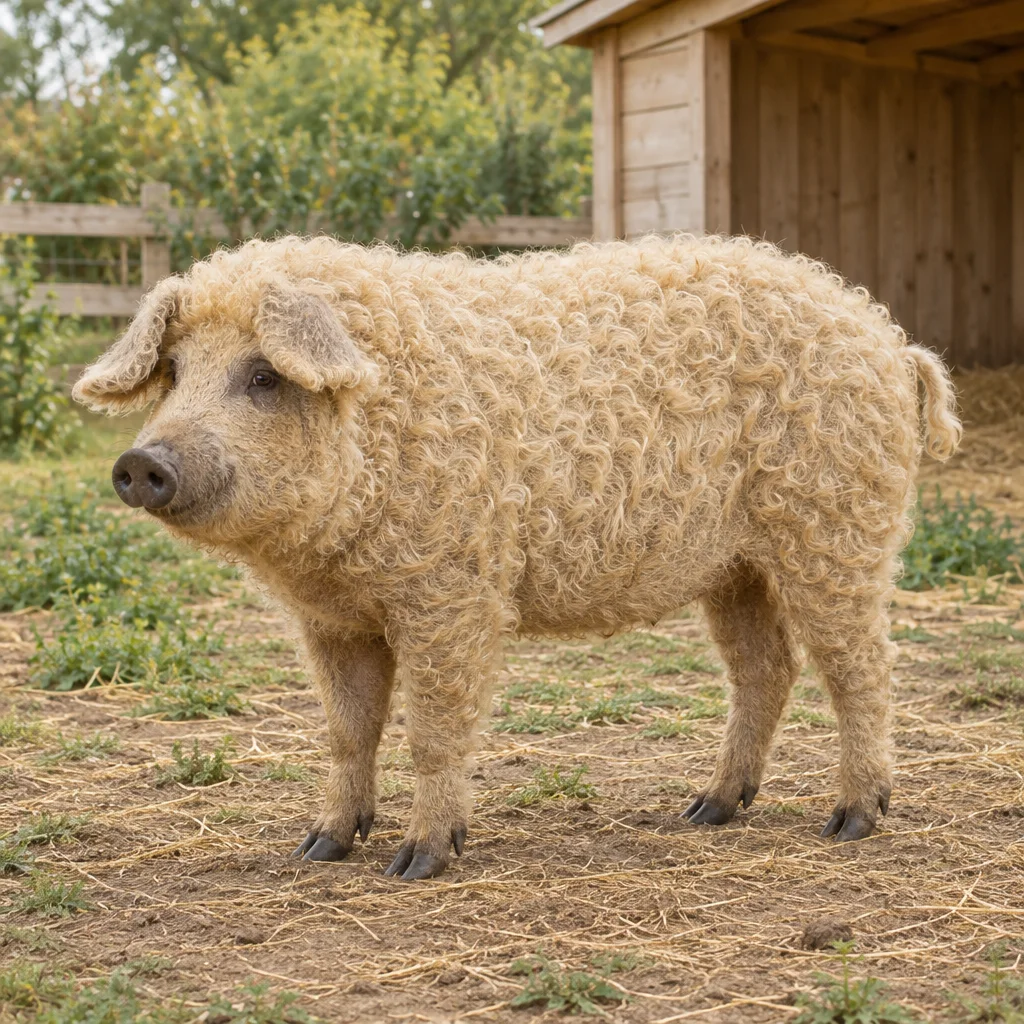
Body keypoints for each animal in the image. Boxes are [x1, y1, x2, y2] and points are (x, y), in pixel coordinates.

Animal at [73, 234, 961, 879]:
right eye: (174, 371)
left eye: (262, 376)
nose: (142, 462)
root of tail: (893, 342)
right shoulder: (334, 621)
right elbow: (347, 731)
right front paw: (319, 847)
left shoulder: (453, 593)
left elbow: (434, 731)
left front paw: (416, 864)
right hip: (735, 564)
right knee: (765, 668)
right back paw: (706, 810)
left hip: (835, 528)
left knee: (861, 669)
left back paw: (851, 822)